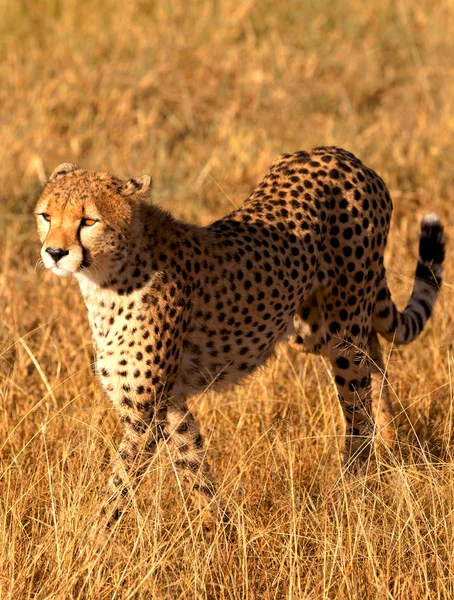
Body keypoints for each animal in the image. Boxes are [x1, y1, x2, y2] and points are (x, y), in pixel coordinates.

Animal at [34, 149, 444, 528]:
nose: (54, 252)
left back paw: (350, 489)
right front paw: (219, 530)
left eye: (89, 221)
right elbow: (193, 463)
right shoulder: (171, 401)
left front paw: (90, 544)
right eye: (47, 216)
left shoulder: (145, 413)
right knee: (373, 361)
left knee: (359, 411)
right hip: (315, 327)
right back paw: (391, 450)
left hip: (341, 327)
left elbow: (117, 490)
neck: (110, 274)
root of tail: (342, 154)